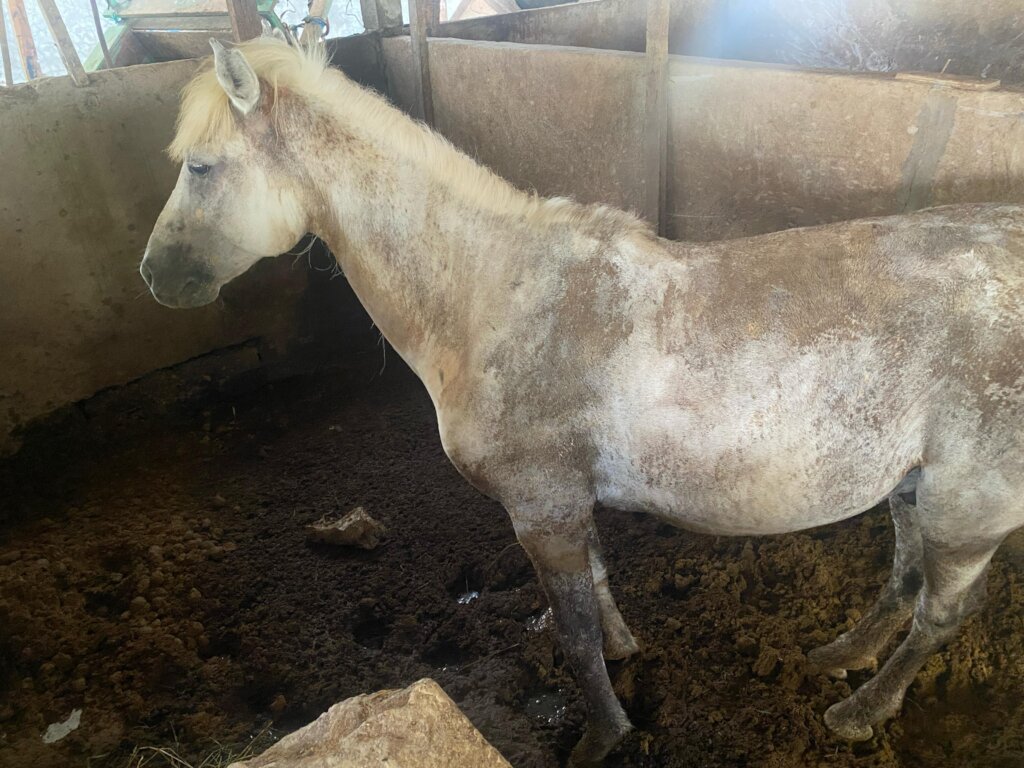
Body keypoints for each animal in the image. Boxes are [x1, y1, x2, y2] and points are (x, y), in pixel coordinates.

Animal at [141, 35, 1024, 765]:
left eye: (201, 166)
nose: (155, 277)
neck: (494, 296)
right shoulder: (568, 504)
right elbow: (596, 592)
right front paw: (625, 650)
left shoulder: (541, 510)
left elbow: (569, 633)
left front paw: (602, 734)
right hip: (908, 484)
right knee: (903, 579)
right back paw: (842, 655)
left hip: (966, 508)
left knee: (942, 614)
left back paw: (861, 710)